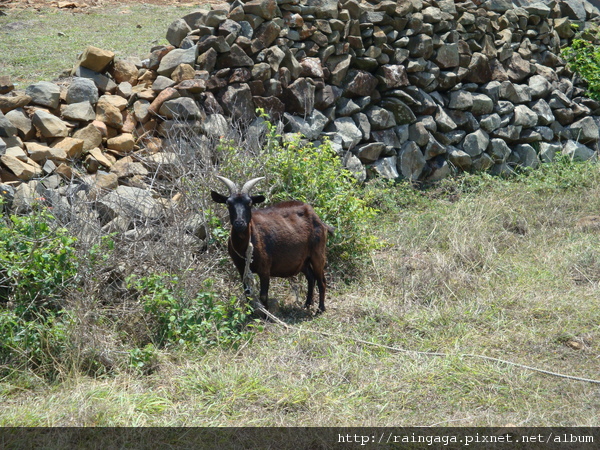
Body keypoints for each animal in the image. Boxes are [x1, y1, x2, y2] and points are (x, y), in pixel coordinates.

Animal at [210, 176, 332, 312]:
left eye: (249, 203)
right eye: (228, 203)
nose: (239, 223)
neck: (245, 247)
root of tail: (319, 220)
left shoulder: (265, 268)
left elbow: (263, 295)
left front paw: (266, 314)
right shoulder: (241, 269)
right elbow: (248, 294)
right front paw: (250, 313)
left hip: (318, 254)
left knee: (321, 281)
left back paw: (320, 308)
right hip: (303, 260)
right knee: (311, 278)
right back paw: (307, 304)